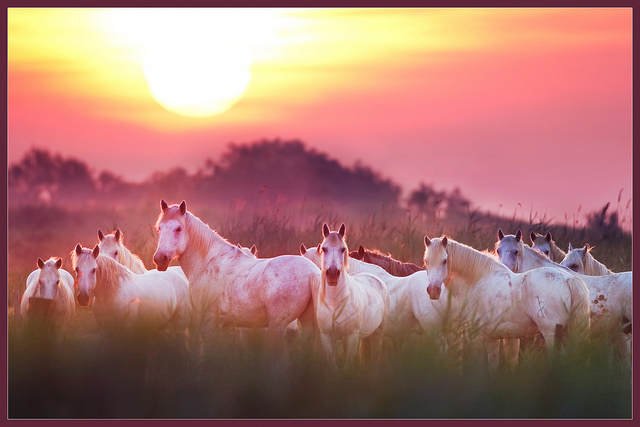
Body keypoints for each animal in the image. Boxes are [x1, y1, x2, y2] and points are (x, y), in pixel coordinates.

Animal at [151, 200, 320, 352]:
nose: (160, 259)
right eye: (159, 228)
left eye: (178, 228)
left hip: (277, 327)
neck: (208, 261)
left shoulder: (208, 323)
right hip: (305, 325)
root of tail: (312, 271)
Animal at [316, 224, 390, 372]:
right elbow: (333, 367)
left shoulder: (351, 337)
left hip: (377, 334)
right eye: (324, 249)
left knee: (375, 359)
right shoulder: (327, 338)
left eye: (343, 249)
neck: (335, 302)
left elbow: (348, 366)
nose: (333, 274)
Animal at [424, 236, 592, 372]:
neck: (477, 279)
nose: (433, 290)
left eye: (444, 261)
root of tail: (570, 280)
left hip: (551, 336)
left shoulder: (476, 336)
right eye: (426, 261)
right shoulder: (492, 338)